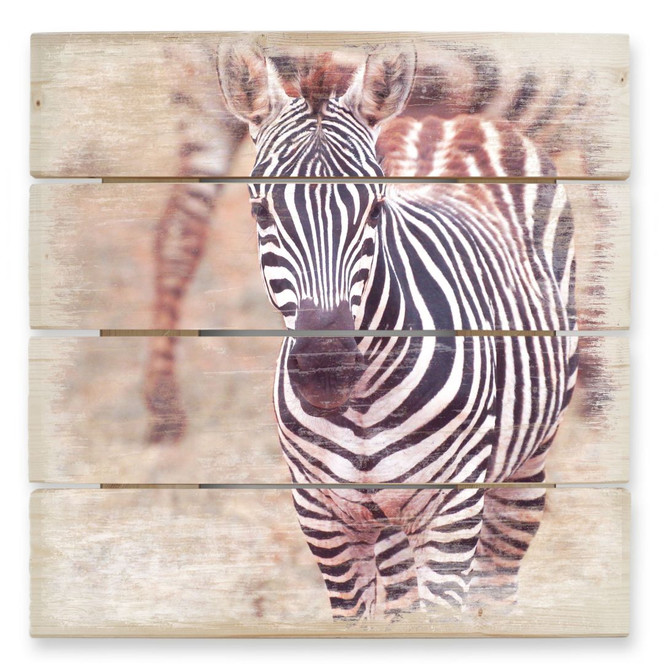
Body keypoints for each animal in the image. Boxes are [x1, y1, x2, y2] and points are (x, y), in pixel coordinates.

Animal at [215, 43, 578, 620]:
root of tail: (446, 118)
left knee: (498, 577)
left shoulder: (451, 508)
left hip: (526, 465)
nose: (326, 368)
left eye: (375, 207)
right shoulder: (323, 517)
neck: (362, 404)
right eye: (260, 209)